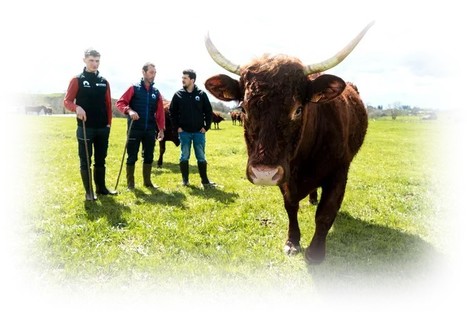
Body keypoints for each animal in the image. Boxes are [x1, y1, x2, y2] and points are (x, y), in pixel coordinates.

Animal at [205, 21, 372, 264]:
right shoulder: (285, 177)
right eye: (243, 109)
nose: (264, 173)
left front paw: (315, 252)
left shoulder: (339, 172)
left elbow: (326, 213)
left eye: (298, 109)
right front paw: (292, 242)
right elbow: (290, 207)